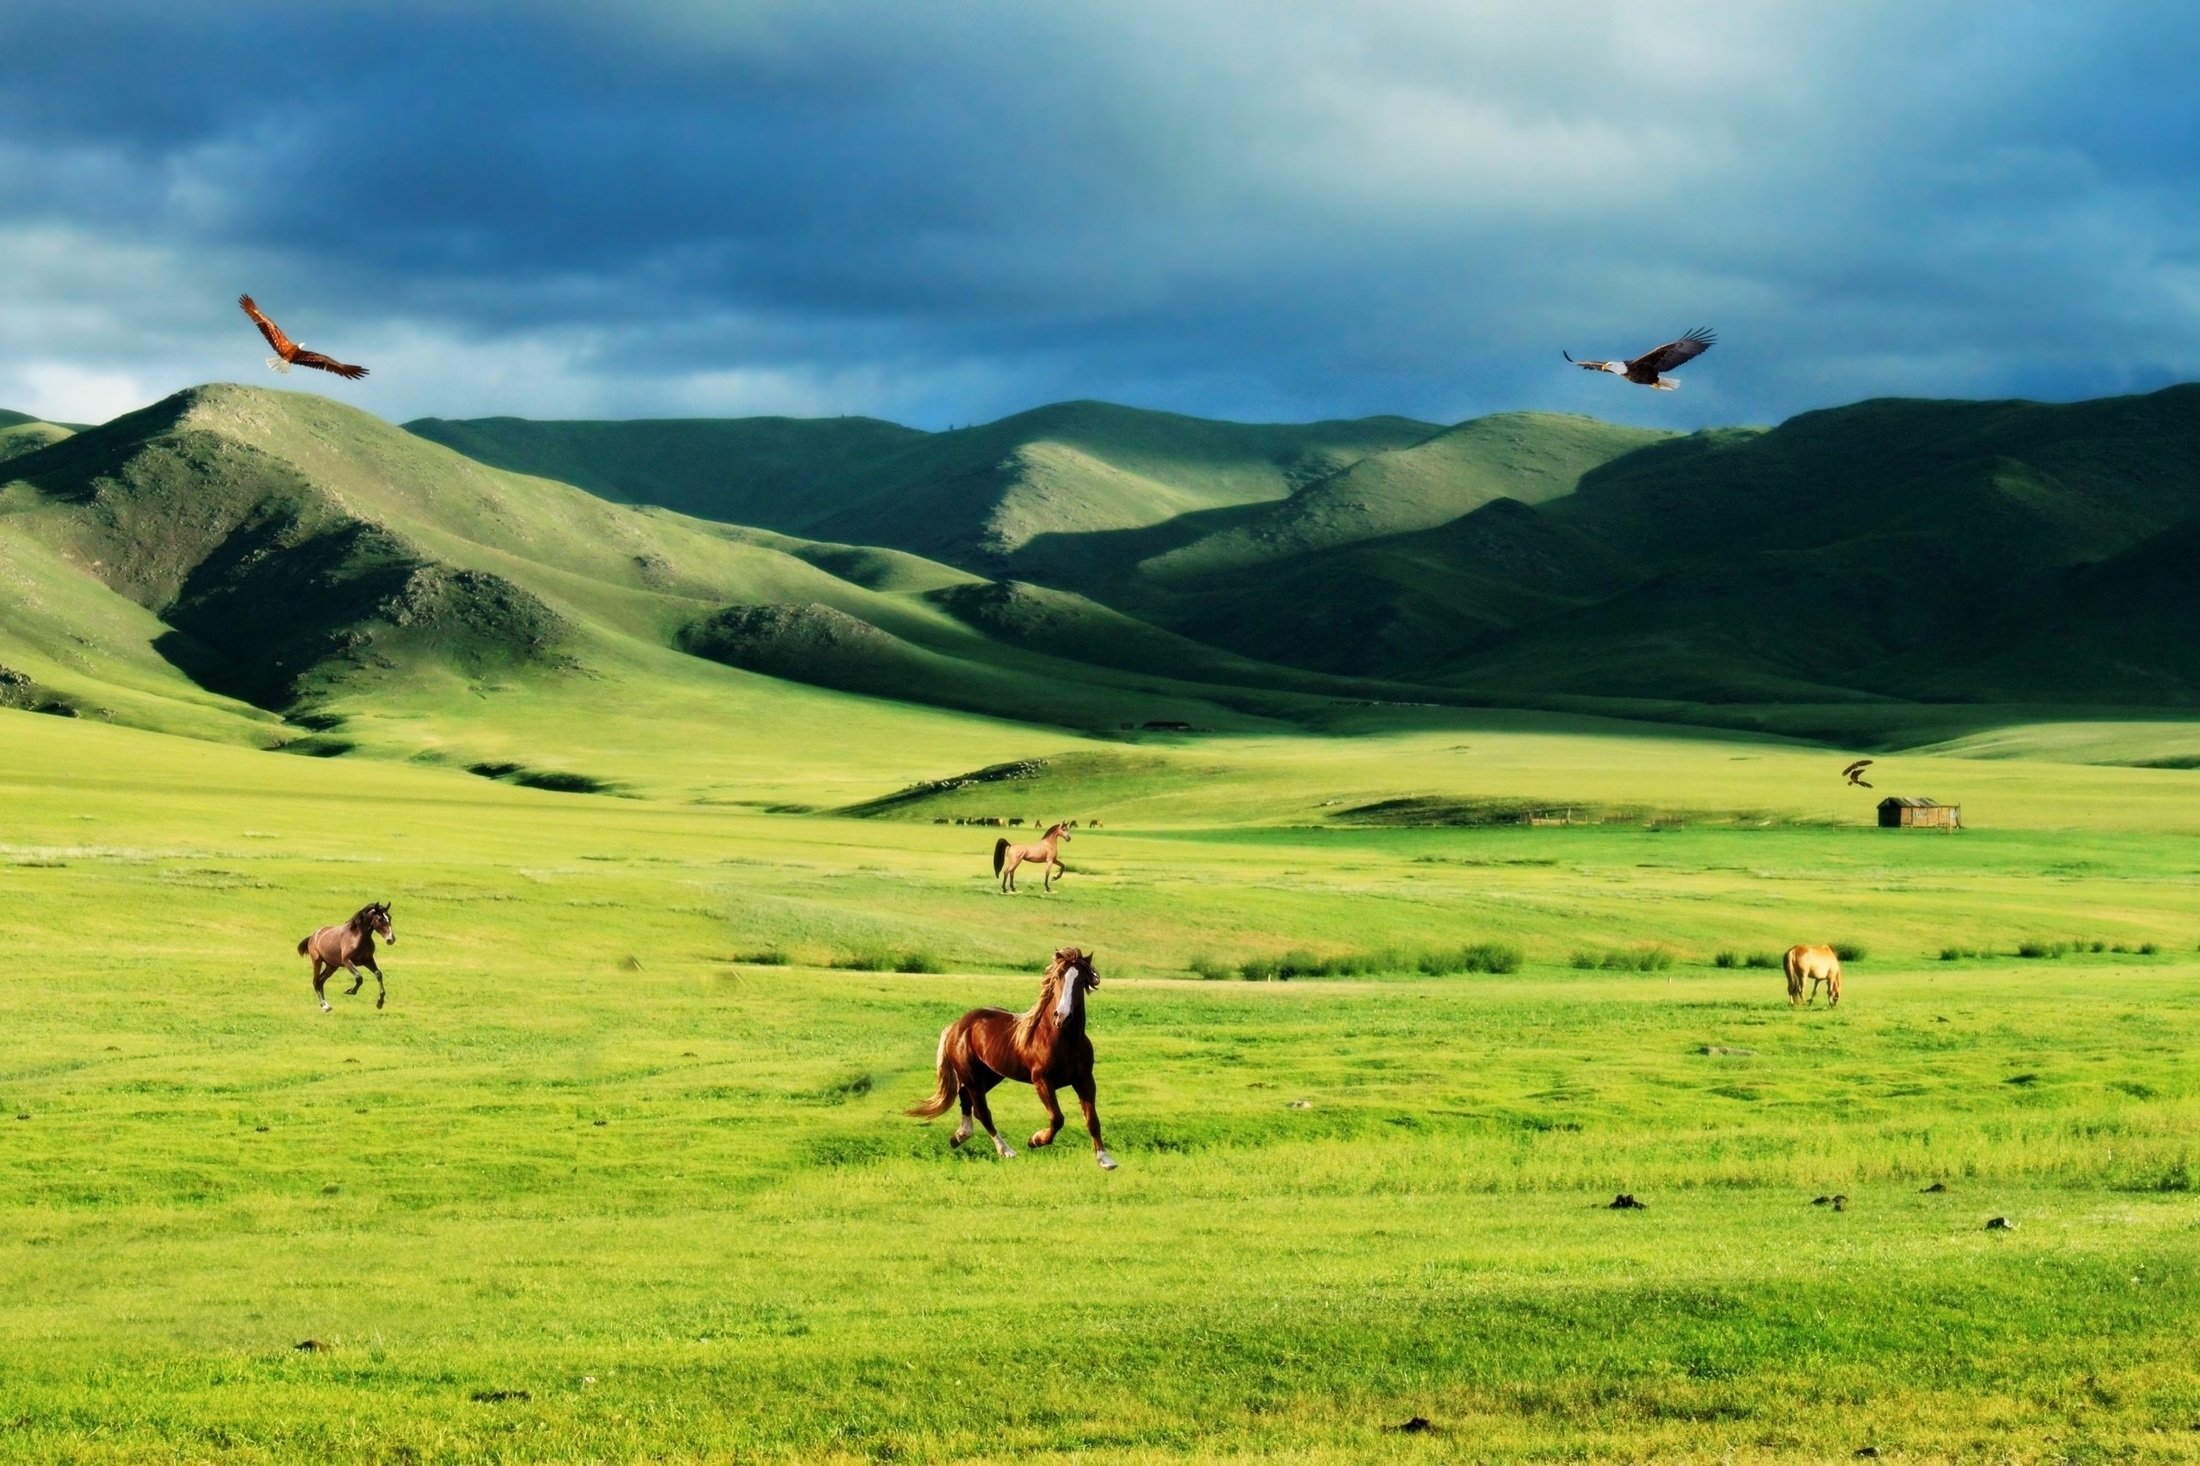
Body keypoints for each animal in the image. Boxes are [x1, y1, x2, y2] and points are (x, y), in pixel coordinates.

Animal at [906, 942, 1117, 1171]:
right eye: (1058, 977)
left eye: (1081, 980)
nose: (1061, 1016)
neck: (1063, 1039)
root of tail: (956, 1026)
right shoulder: (1042, 1081)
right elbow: (1057, 1118)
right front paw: (1035, 1140)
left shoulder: (1085, 1080)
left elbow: (1092, 1119)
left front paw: (1105, 1160)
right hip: (972, 1075)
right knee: (982, 1111)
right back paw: (1006, 1151)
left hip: (991, 1075)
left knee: (965, 1098)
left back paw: (959, 1137)